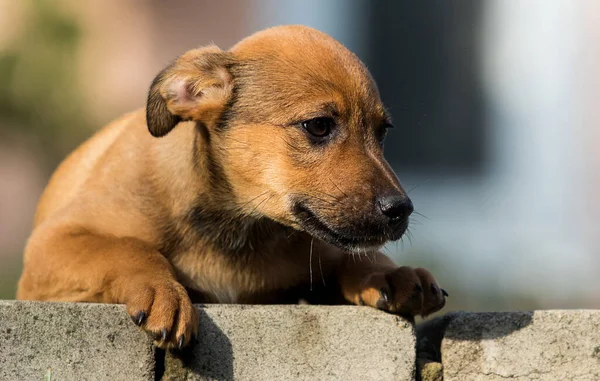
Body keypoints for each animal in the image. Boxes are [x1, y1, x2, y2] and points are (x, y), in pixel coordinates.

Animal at [16, 26, 446, 348]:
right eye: (318, 126)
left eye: (382, 132)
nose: (401, 210)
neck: (238, 227)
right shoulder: (51, 244)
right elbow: (126, 247)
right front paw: (164, 291)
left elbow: (355, 257)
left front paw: (391, 274)